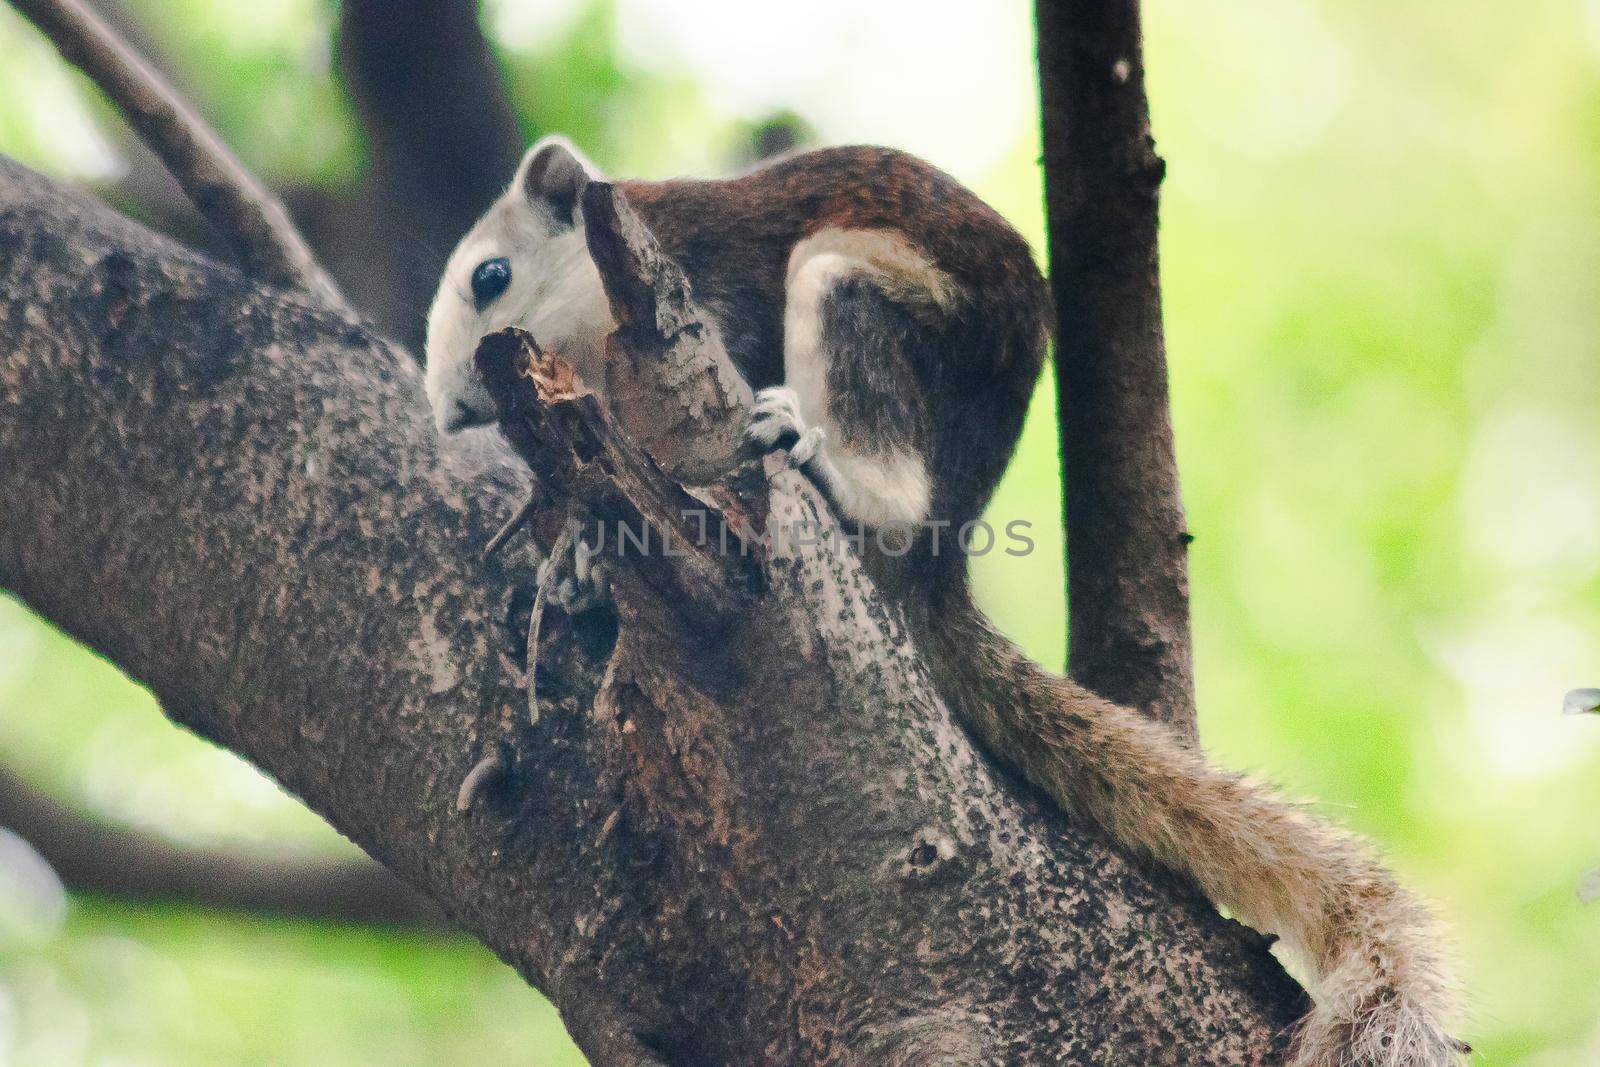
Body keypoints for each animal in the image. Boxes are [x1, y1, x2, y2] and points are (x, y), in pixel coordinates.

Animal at [422, 137, 1465, 1062]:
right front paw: (577, 559)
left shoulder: (709, 294)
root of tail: (944, 554)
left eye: (490, 277)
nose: (452, 412)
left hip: (858, 295)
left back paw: (826, 467)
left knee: (885, 473)